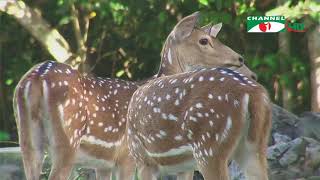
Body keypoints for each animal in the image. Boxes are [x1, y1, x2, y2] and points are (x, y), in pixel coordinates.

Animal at [13, 11, 250, 179]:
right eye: (203, 41)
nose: (240, 59)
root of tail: (35, 79)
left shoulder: (104, 163)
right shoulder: (127, 156)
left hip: (28, 140)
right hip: (67, 138)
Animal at [126, 11, 272, 179]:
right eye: (204, 40)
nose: (240, 58)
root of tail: (253, 93)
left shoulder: (142, 158)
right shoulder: (183, 166)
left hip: (209, 146)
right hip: (254, 146)